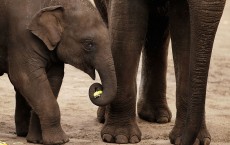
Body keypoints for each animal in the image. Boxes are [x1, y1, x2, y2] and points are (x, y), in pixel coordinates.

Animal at [0, 0, 117, 144]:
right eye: (88, 44)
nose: (97, 88)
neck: (54, 4)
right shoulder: (21, 37)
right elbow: (25, 78)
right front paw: (59, 141)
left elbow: (54, 79)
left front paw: (37, 140)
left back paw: (23, 133)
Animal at [94, 0, 226, 144]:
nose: (181, 141)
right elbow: (127, 29)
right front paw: (120, 138)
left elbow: (187, 32)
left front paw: (196, 141)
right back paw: (103, 117)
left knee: (157, 32)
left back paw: (157, 117)